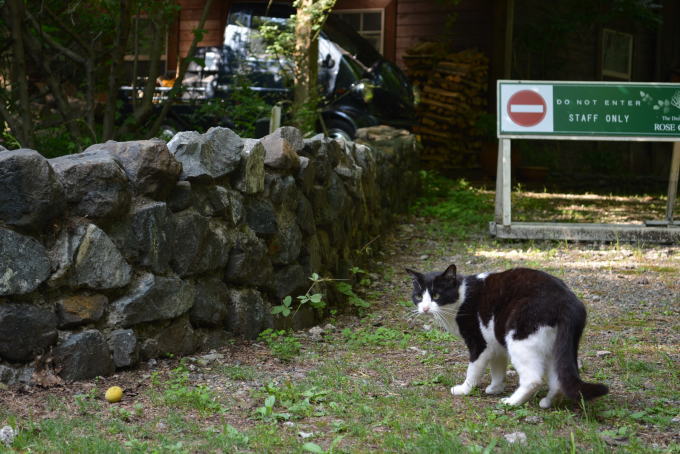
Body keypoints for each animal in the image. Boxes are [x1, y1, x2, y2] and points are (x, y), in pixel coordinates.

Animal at [406, 262, 608, 408]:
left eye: (436, 296)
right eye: (418, 296)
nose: (425, 308)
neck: (461, 298)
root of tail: (568, 300)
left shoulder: (479, 344)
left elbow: (473, 370)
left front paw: (464, 389)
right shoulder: (495, 343)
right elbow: (497, 368)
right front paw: (495, 388)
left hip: (520, 340)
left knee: (533, 379)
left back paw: (511, 402)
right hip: (553, 346)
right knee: (558, 379)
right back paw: (547, 402)